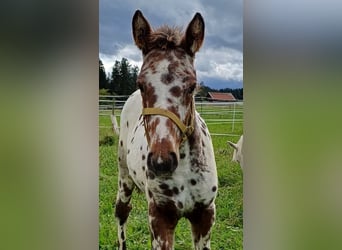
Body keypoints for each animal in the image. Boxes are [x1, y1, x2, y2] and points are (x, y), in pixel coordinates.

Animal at [113, 10, 218, 250]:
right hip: (124, 177)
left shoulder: (205, 215)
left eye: (192, 86)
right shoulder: (160, 216)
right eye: (141, 84)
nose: (162, 162)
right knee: (122, 213)